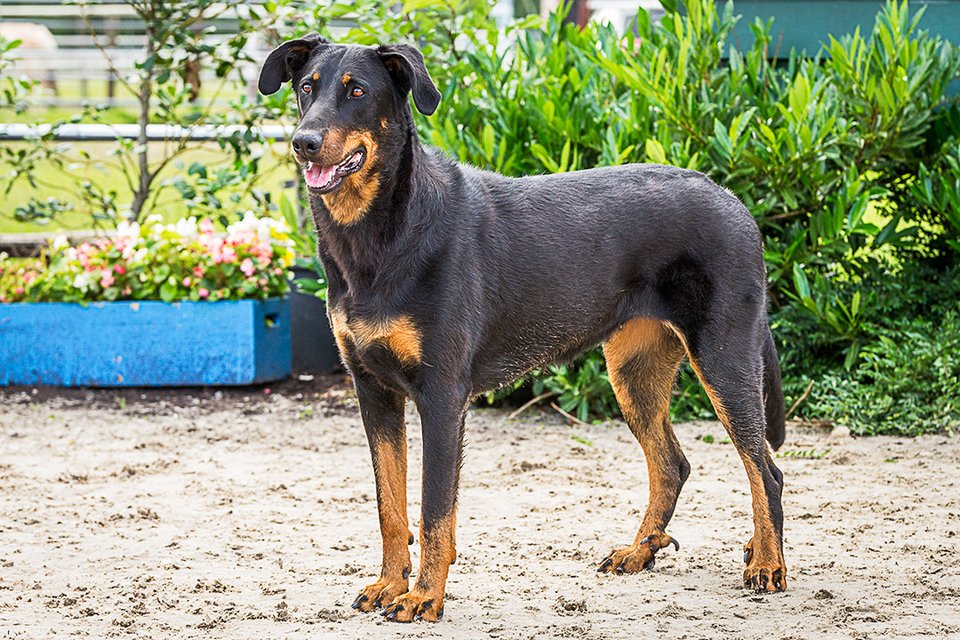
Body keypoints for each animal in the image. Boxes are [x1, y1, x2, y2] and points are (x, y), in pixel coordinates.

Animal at [258, 35, 788, 623]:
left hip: (723, 358)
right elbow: (389, 507)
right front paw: (389, 583)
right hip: (634, 370)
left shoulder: (442, 396)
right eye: (307, 88)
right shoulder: (373, 391)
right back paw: (640, 551)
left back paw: (767, 564)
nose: (303, 143)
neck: (381, 231)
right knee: (673, 464)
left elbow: (434, 511)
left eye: (357, 91)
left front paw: (424, 596)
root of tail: (732, 199)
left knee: (765, 471)